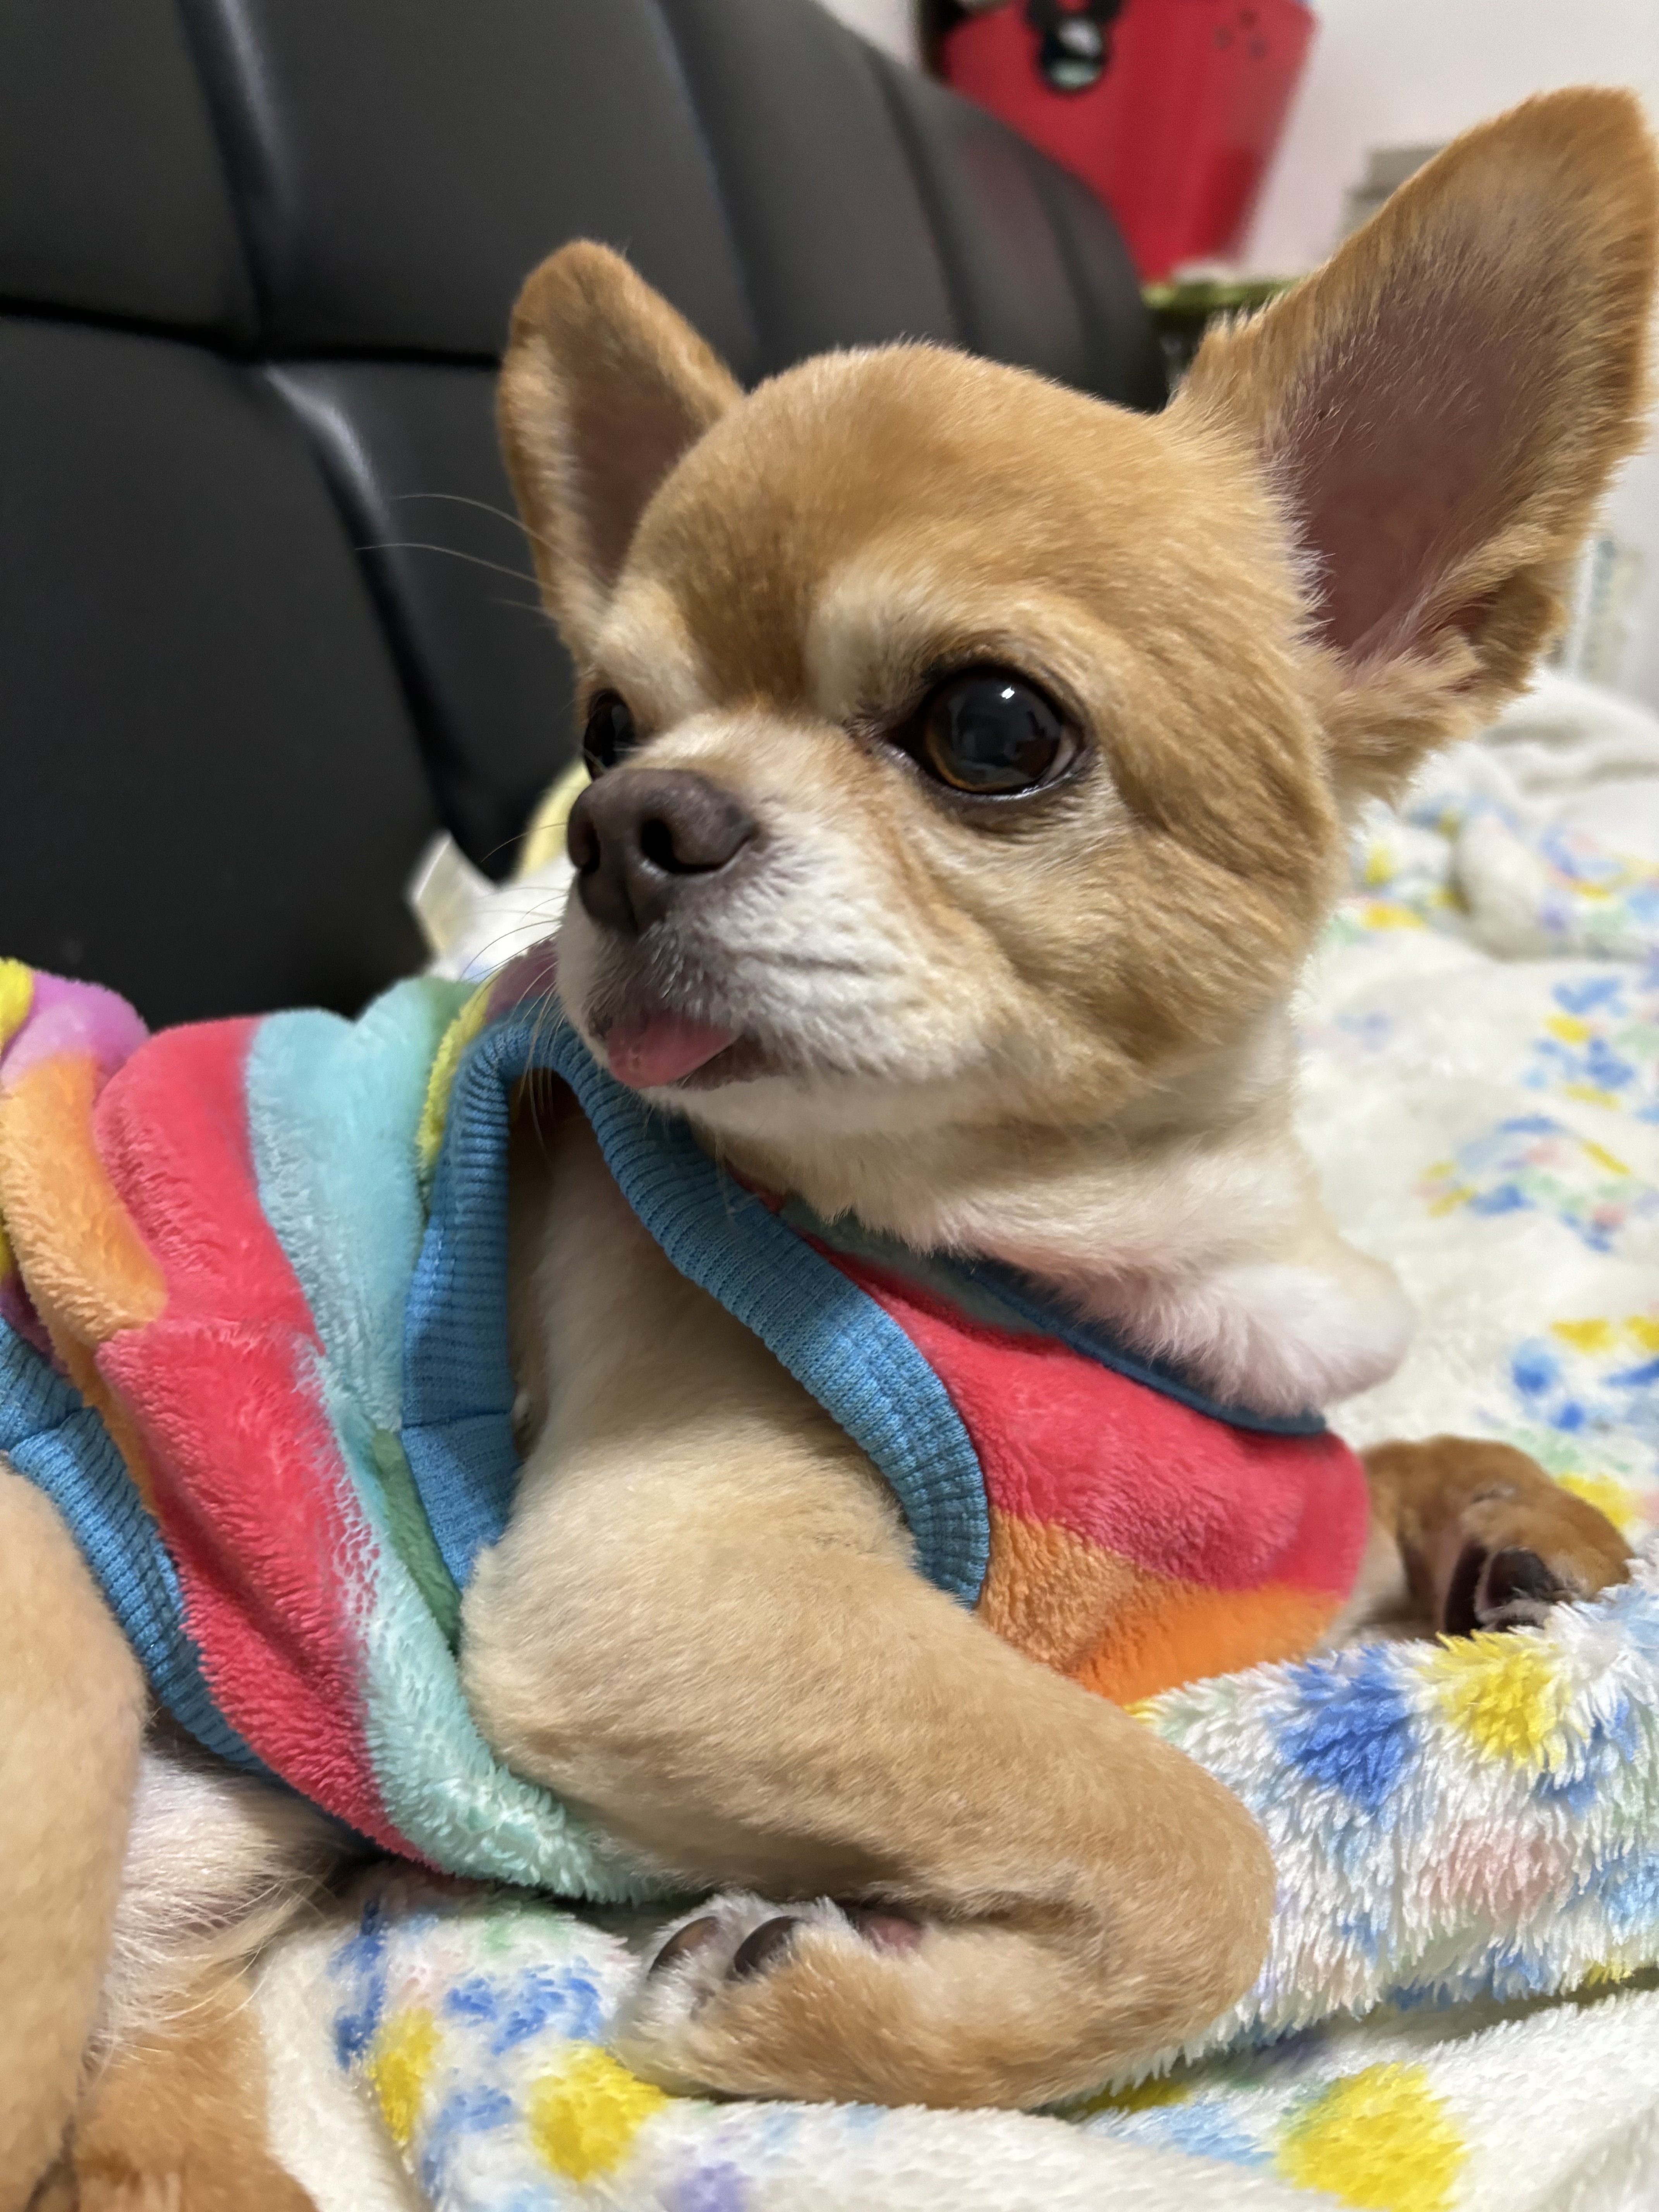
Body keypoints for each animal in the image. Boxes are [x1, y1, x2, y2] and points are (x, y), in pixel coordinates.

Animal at [1, 86, 1654, 2207]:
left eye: (993, 728)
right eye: (605, 724)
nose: (621, 820)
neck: (1075, 1238)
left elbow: (1378, 1472)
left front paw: (1518, 1525)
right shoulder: (660, 1594)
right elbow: (1189, 1841)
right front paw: (808, 2011)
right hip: (54, 1627)